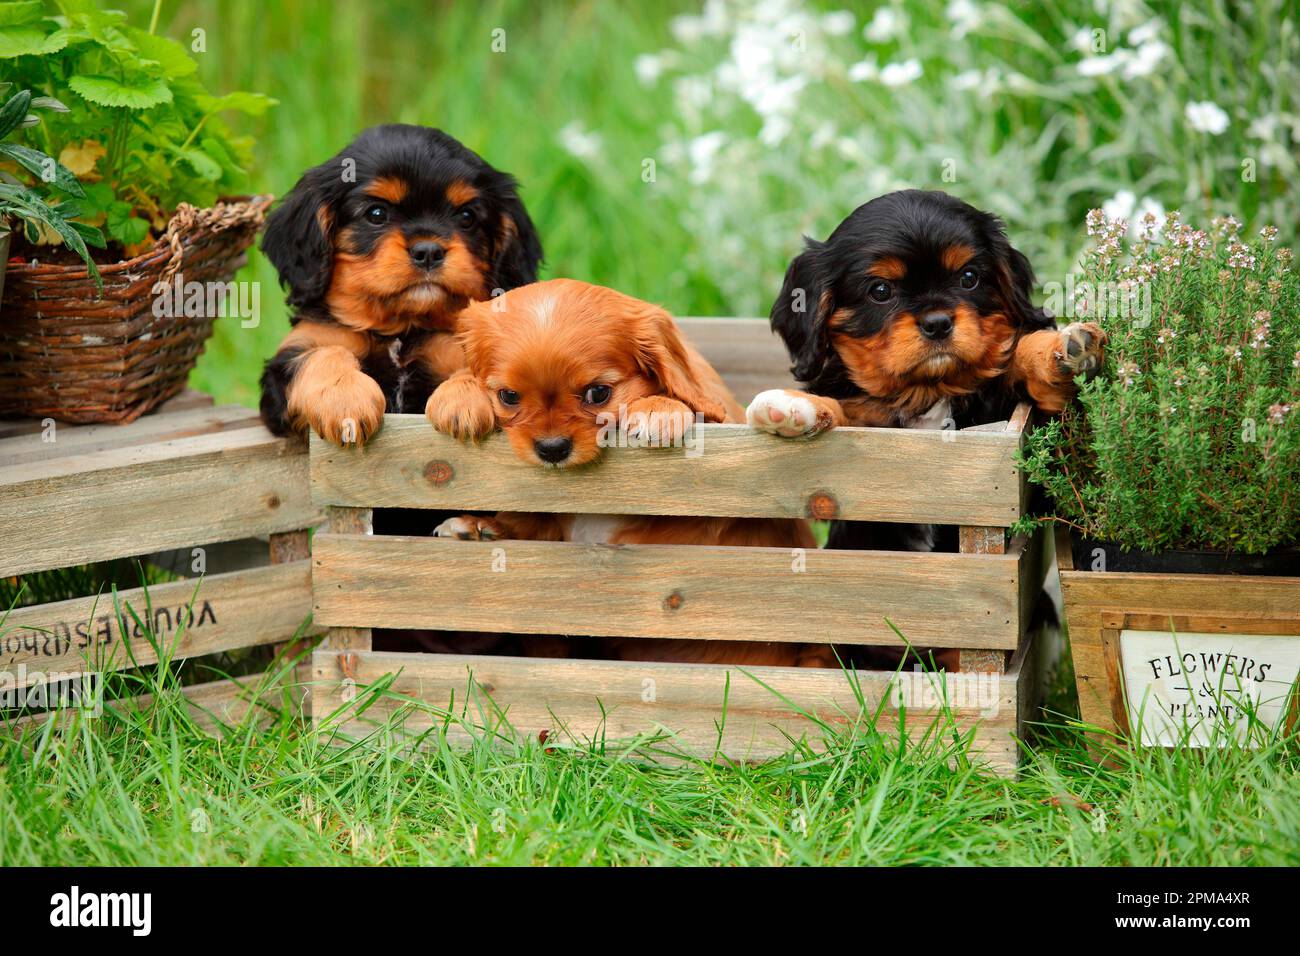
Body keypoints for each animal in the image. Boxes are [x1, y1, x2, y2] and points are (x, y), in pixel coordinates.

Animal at [256, 122, 540, 444]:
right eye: (376, 214)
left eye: (467, 217)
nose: (428, 251)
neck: (399, 331)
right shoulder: (299, 352)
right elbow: (324, 353)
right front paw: (345, 399)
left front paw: (465, 402)